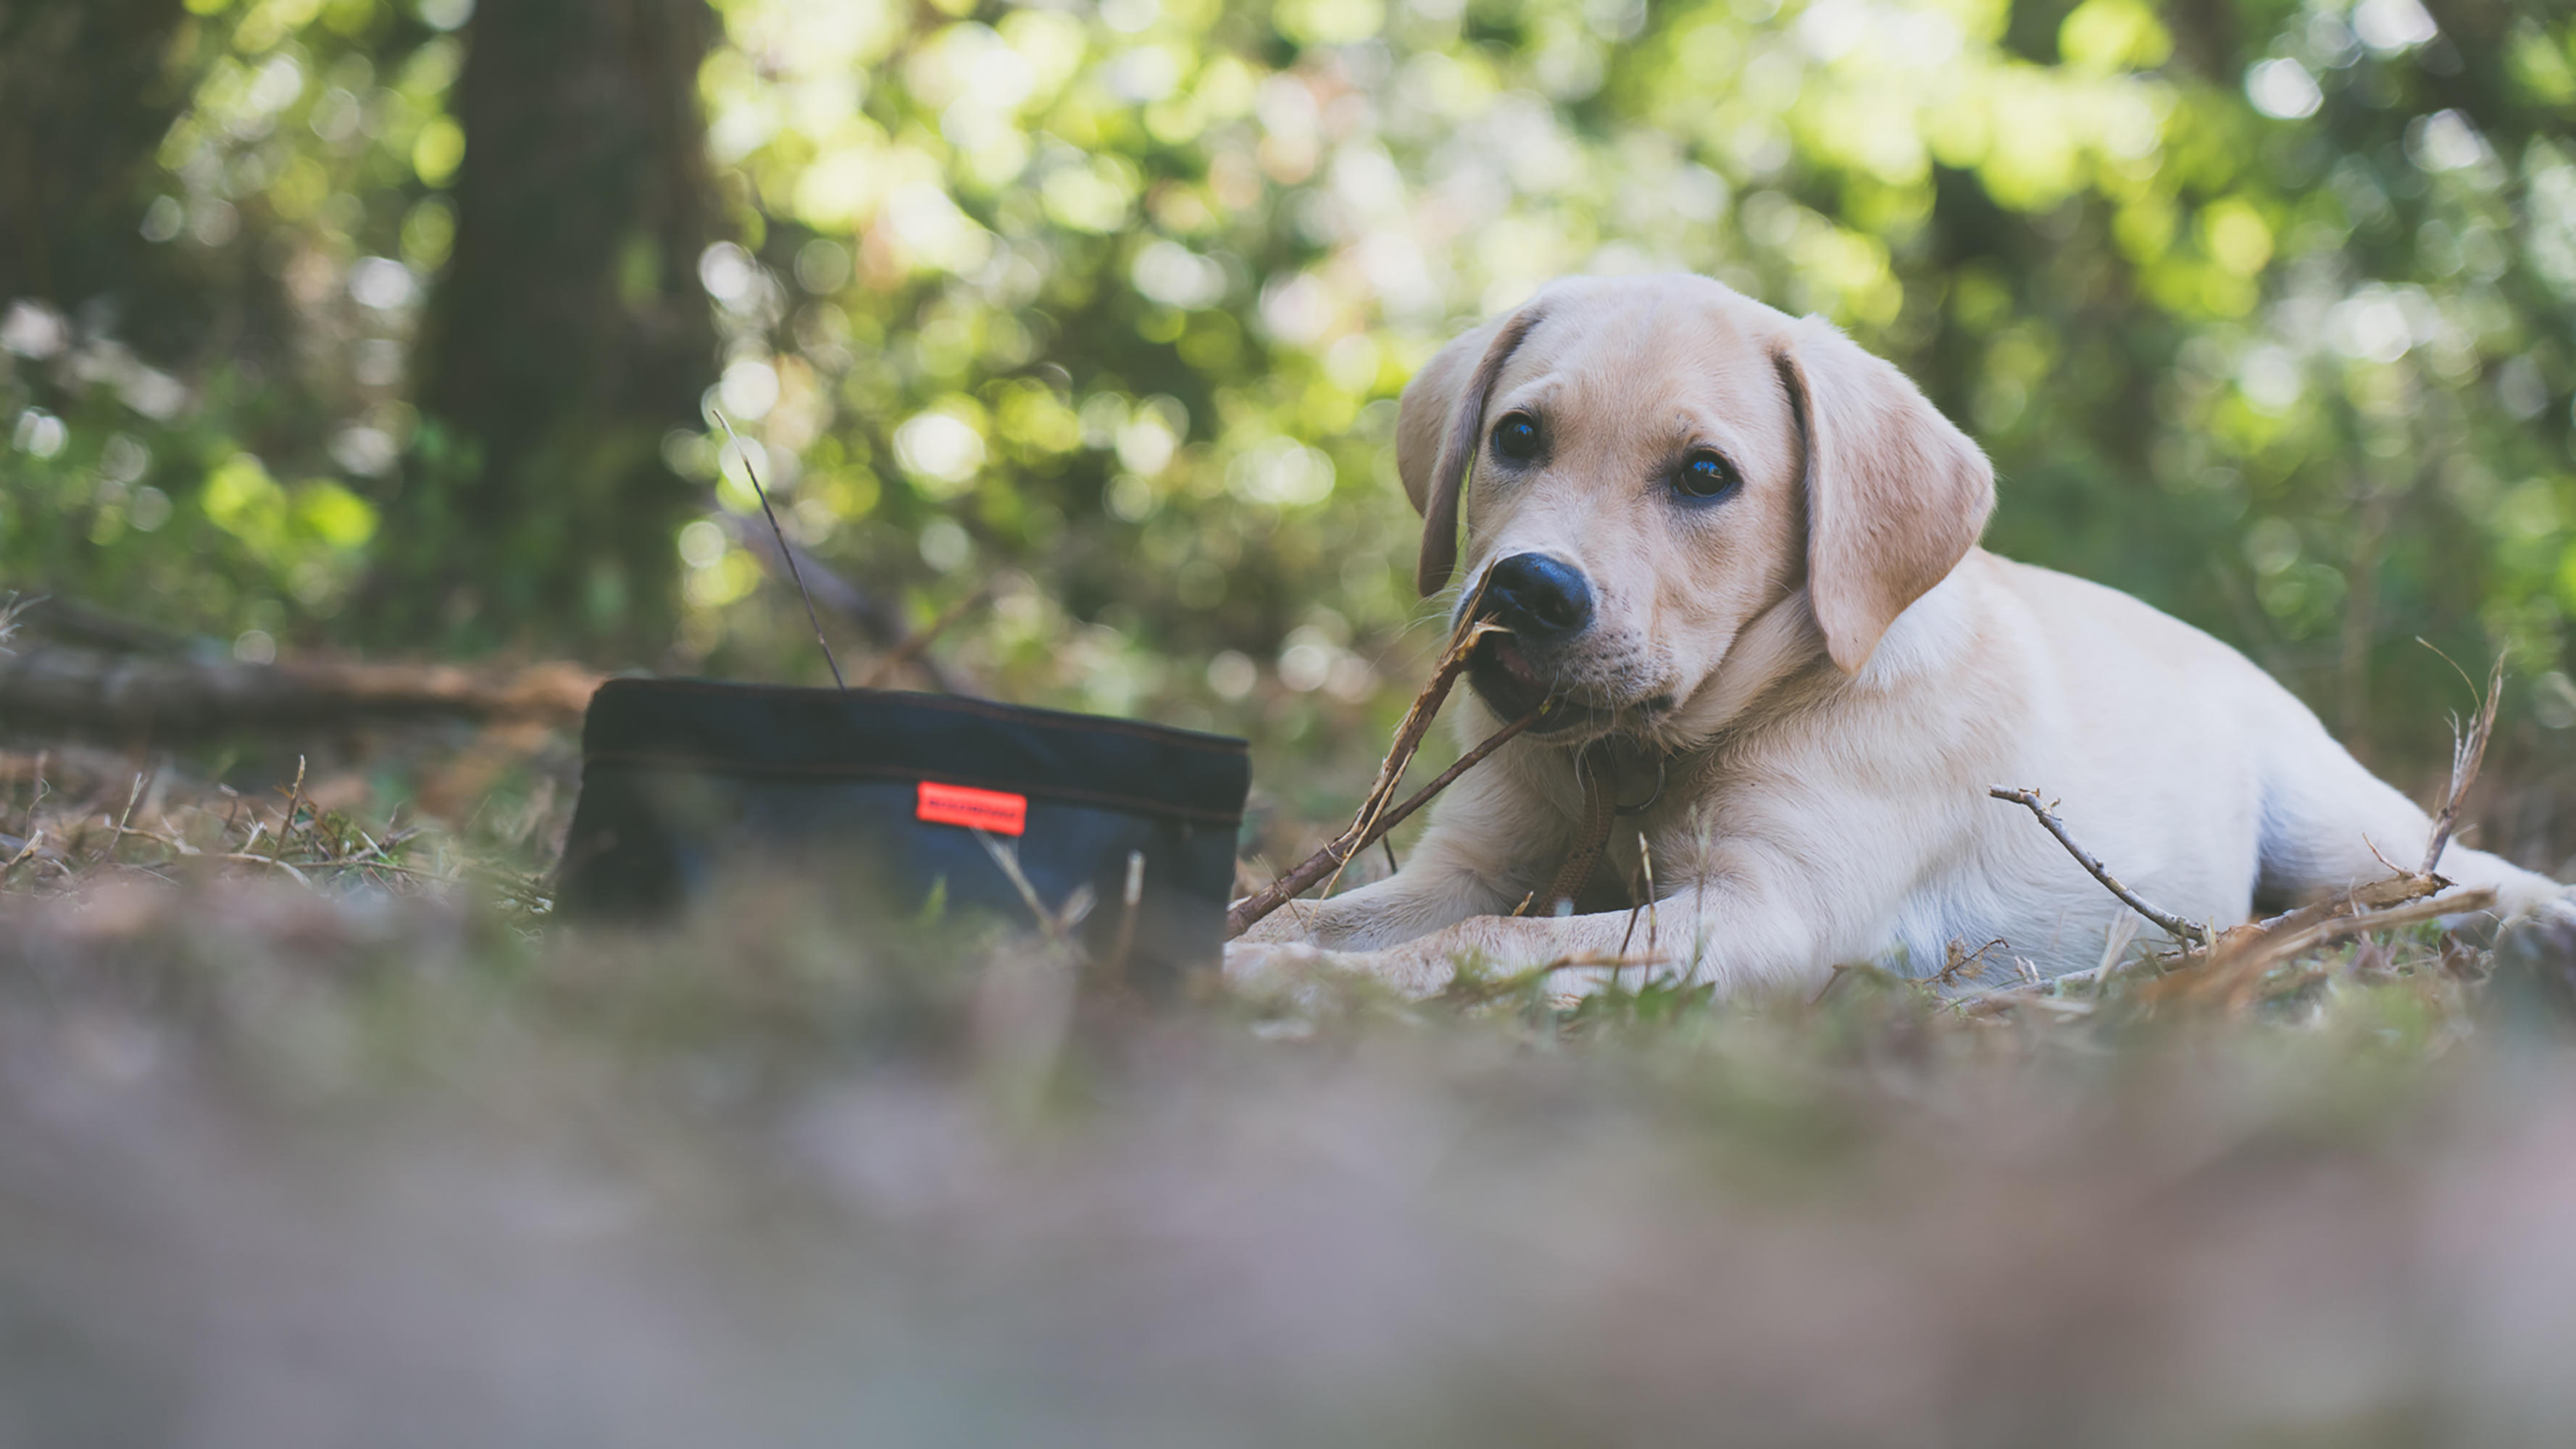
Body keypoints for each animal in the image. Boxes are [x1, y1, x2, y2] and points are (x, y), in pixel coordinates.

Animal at [1226, 272, 2555, 998]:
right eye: (1515, 438)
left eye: (1704, 477)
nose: (1529, 590)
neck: (1638, 760)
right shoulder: (1469, 864)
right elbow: (1335, 912)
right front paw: (1248, 943)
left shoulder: (1763, 912)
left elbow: (1488, 946)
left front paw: (1290, 983)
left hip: (2347, 832)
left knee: (2480, 879)